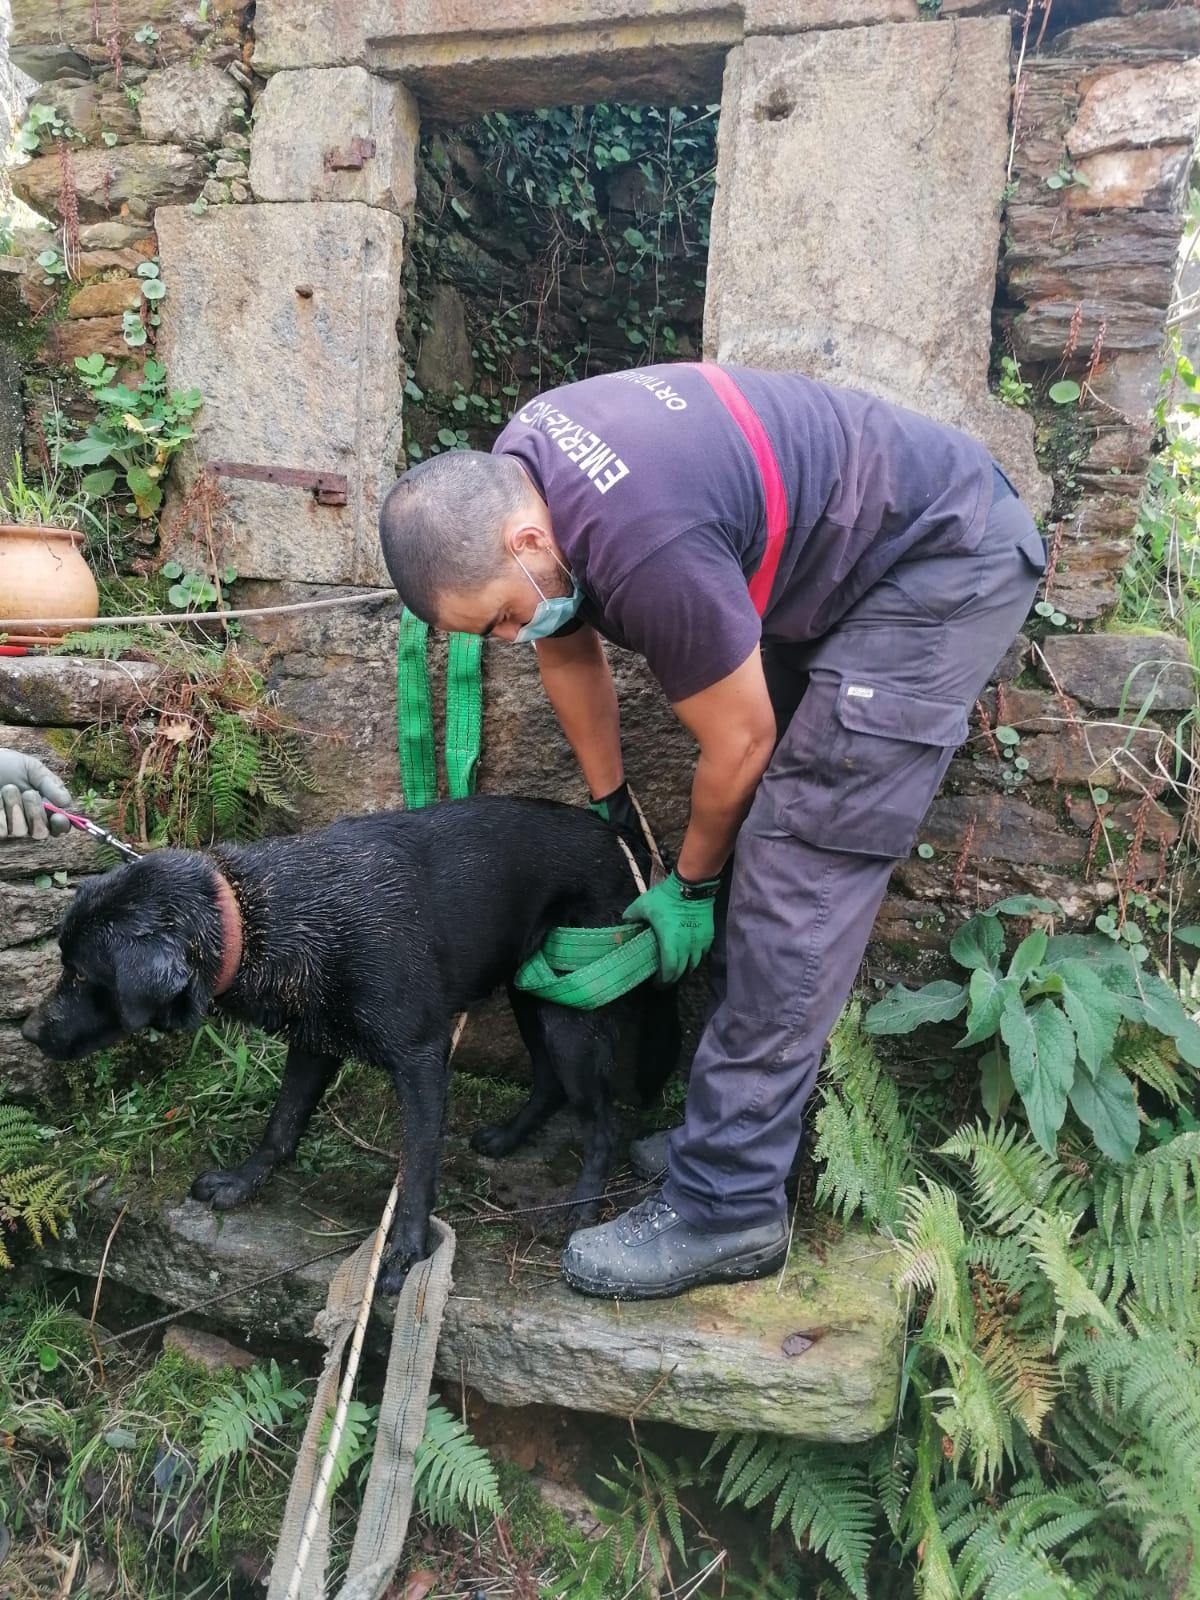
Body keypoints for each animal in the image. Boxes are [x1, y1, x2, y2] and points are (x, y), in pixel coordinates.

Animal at [21, 793, 678, 1292]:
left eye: (79, 974)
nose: (27, 1032)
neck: (257, 917)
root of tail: (624, 840)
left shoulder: (420, 1059)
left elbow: (417, 1169)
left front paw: (406, 1251)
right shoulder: (314, 1043)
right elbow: (282, 1123)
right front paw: (245, 1179)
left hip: (572, 1009)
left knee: (602, 1121)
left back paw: (582, 1205)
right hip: (532, 990)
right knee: (547, 1081)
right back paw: (509, 1137)